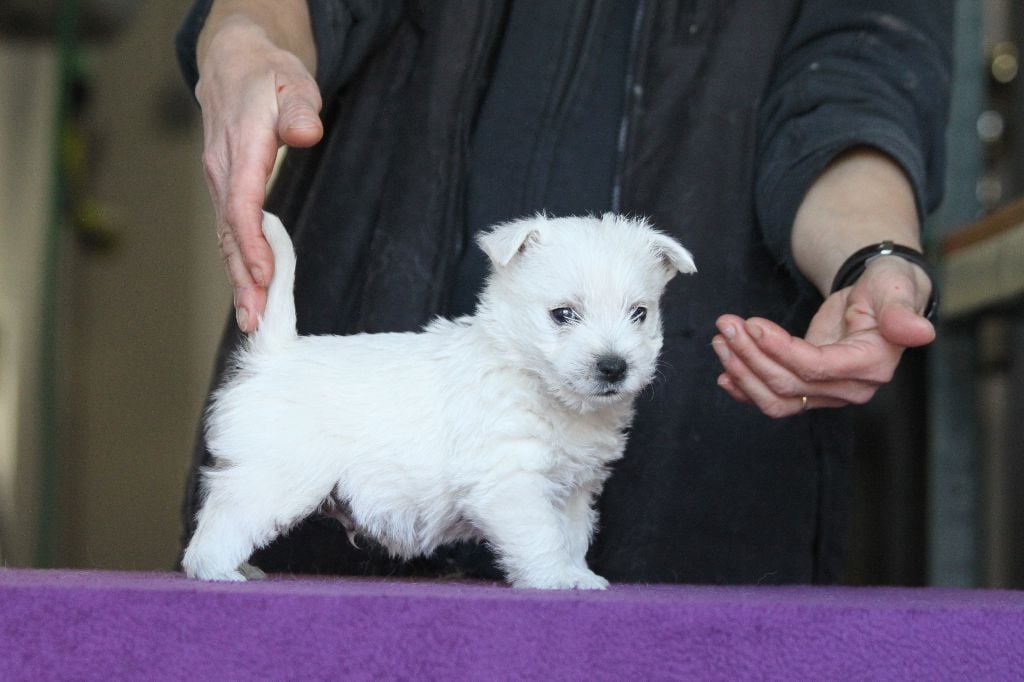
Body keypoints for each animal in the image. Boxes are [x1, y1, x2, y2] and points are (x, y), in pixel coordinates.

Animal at [182, 211, 695, 588]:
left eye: (640, 313)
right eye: (563, 314)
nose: (613, 366)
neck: (535, 383)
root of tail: (277, 352)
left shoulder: (573, 489)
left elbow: (569, 535)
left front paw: (579, 577)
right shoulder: (513, 482)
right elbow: (541, 536)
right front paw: (553, 579)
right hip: (276, 476)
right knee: (222, 523)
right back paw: (218, 570)